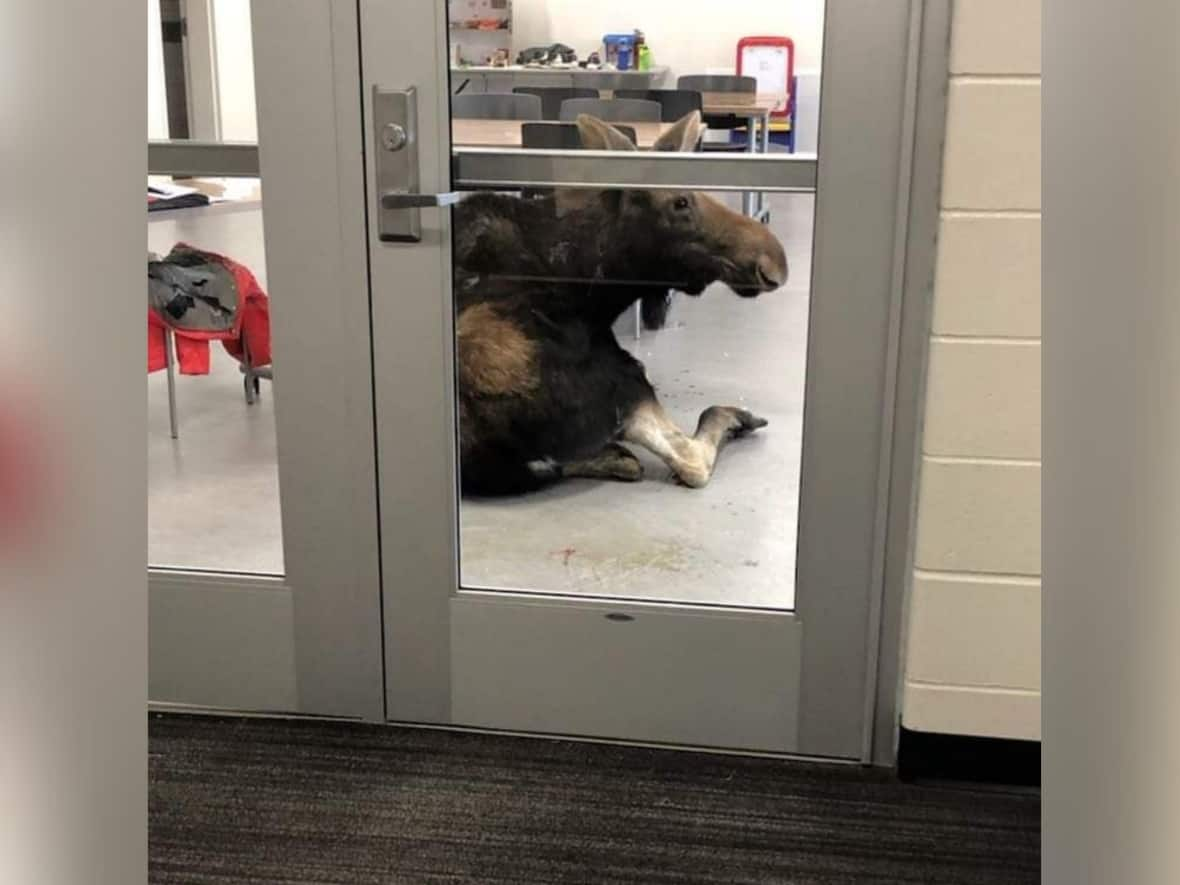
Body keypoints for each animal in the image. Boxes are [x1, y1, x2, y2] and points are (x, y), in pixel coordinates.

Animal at [455, 110, 788, 495]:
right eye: (681, 201)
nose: (774, 261)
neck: (591, 284)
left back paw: (614, 456)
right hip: (625, 376)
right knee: (691, 458)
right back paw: (738, 418)